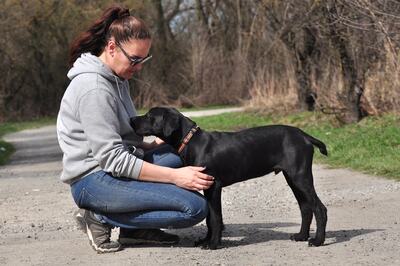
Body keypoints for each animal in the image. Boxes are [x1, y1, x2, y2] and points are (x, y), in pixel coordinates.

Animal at [131, 107, 328, 248]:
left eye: (149, 115)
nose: (131, 120)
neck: (192, 141)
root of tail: (304, 135)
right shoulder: (206, 187)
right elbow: (210, 218)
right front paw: (206, 240)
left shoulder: (214, 186)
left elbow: (215, 218)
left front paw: (213, 244)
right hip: (293, 178)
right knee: (306, 208)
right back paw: (301, 236)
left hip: (300, 176)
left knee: (319, 208)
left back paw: (317, 240)